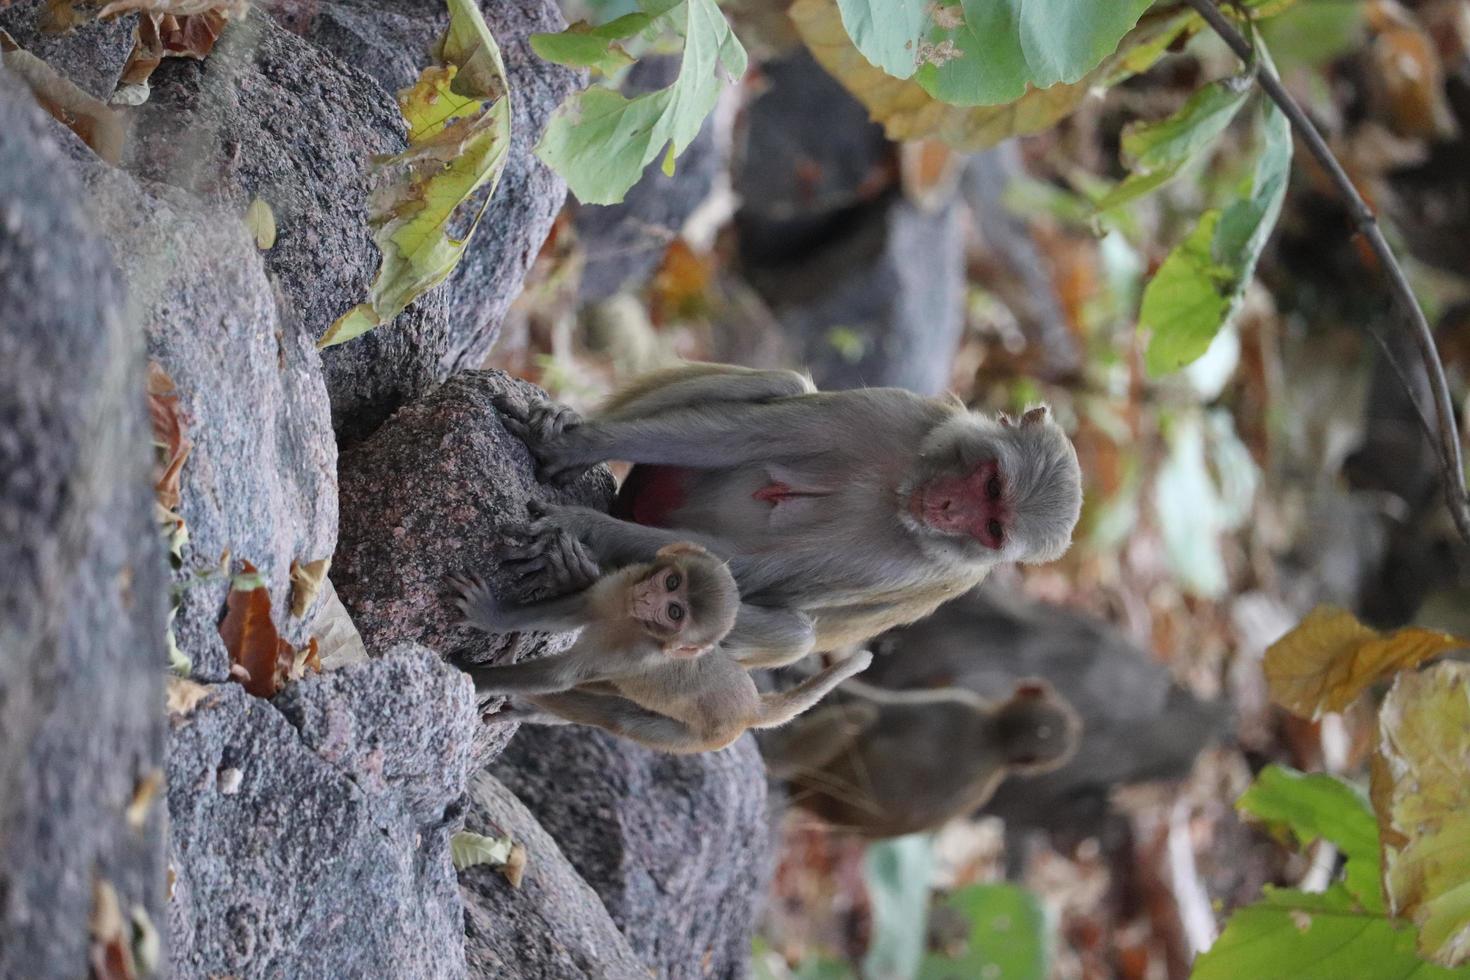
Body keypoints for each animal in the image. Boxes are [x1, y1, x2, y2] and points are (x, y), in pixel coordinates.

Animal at [449, 540, 870, 758]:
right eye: (671, 582)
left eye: (674, 612)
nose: (649, 598)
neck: (632, 622)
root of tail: (752, 706)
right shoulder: (621, 586)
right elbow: (575, 610)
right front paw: (493, 617)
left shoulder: (629, 654)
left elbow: (557, 676)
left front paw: (473, 677)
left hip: (700, 737)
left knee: (617, 717)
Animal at [499, 364, 1087, 669]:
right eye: (992, 486)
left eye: (992, 527)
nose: (946, 508)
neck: (896, 492)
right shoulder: (902, 416)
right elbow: (756, 434)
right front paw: (575, 445)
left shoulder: (912, 565)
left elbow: (746, 568)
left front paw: (582, 529)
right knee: (783, 385)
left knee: (793, 634)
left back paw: (585, 575)